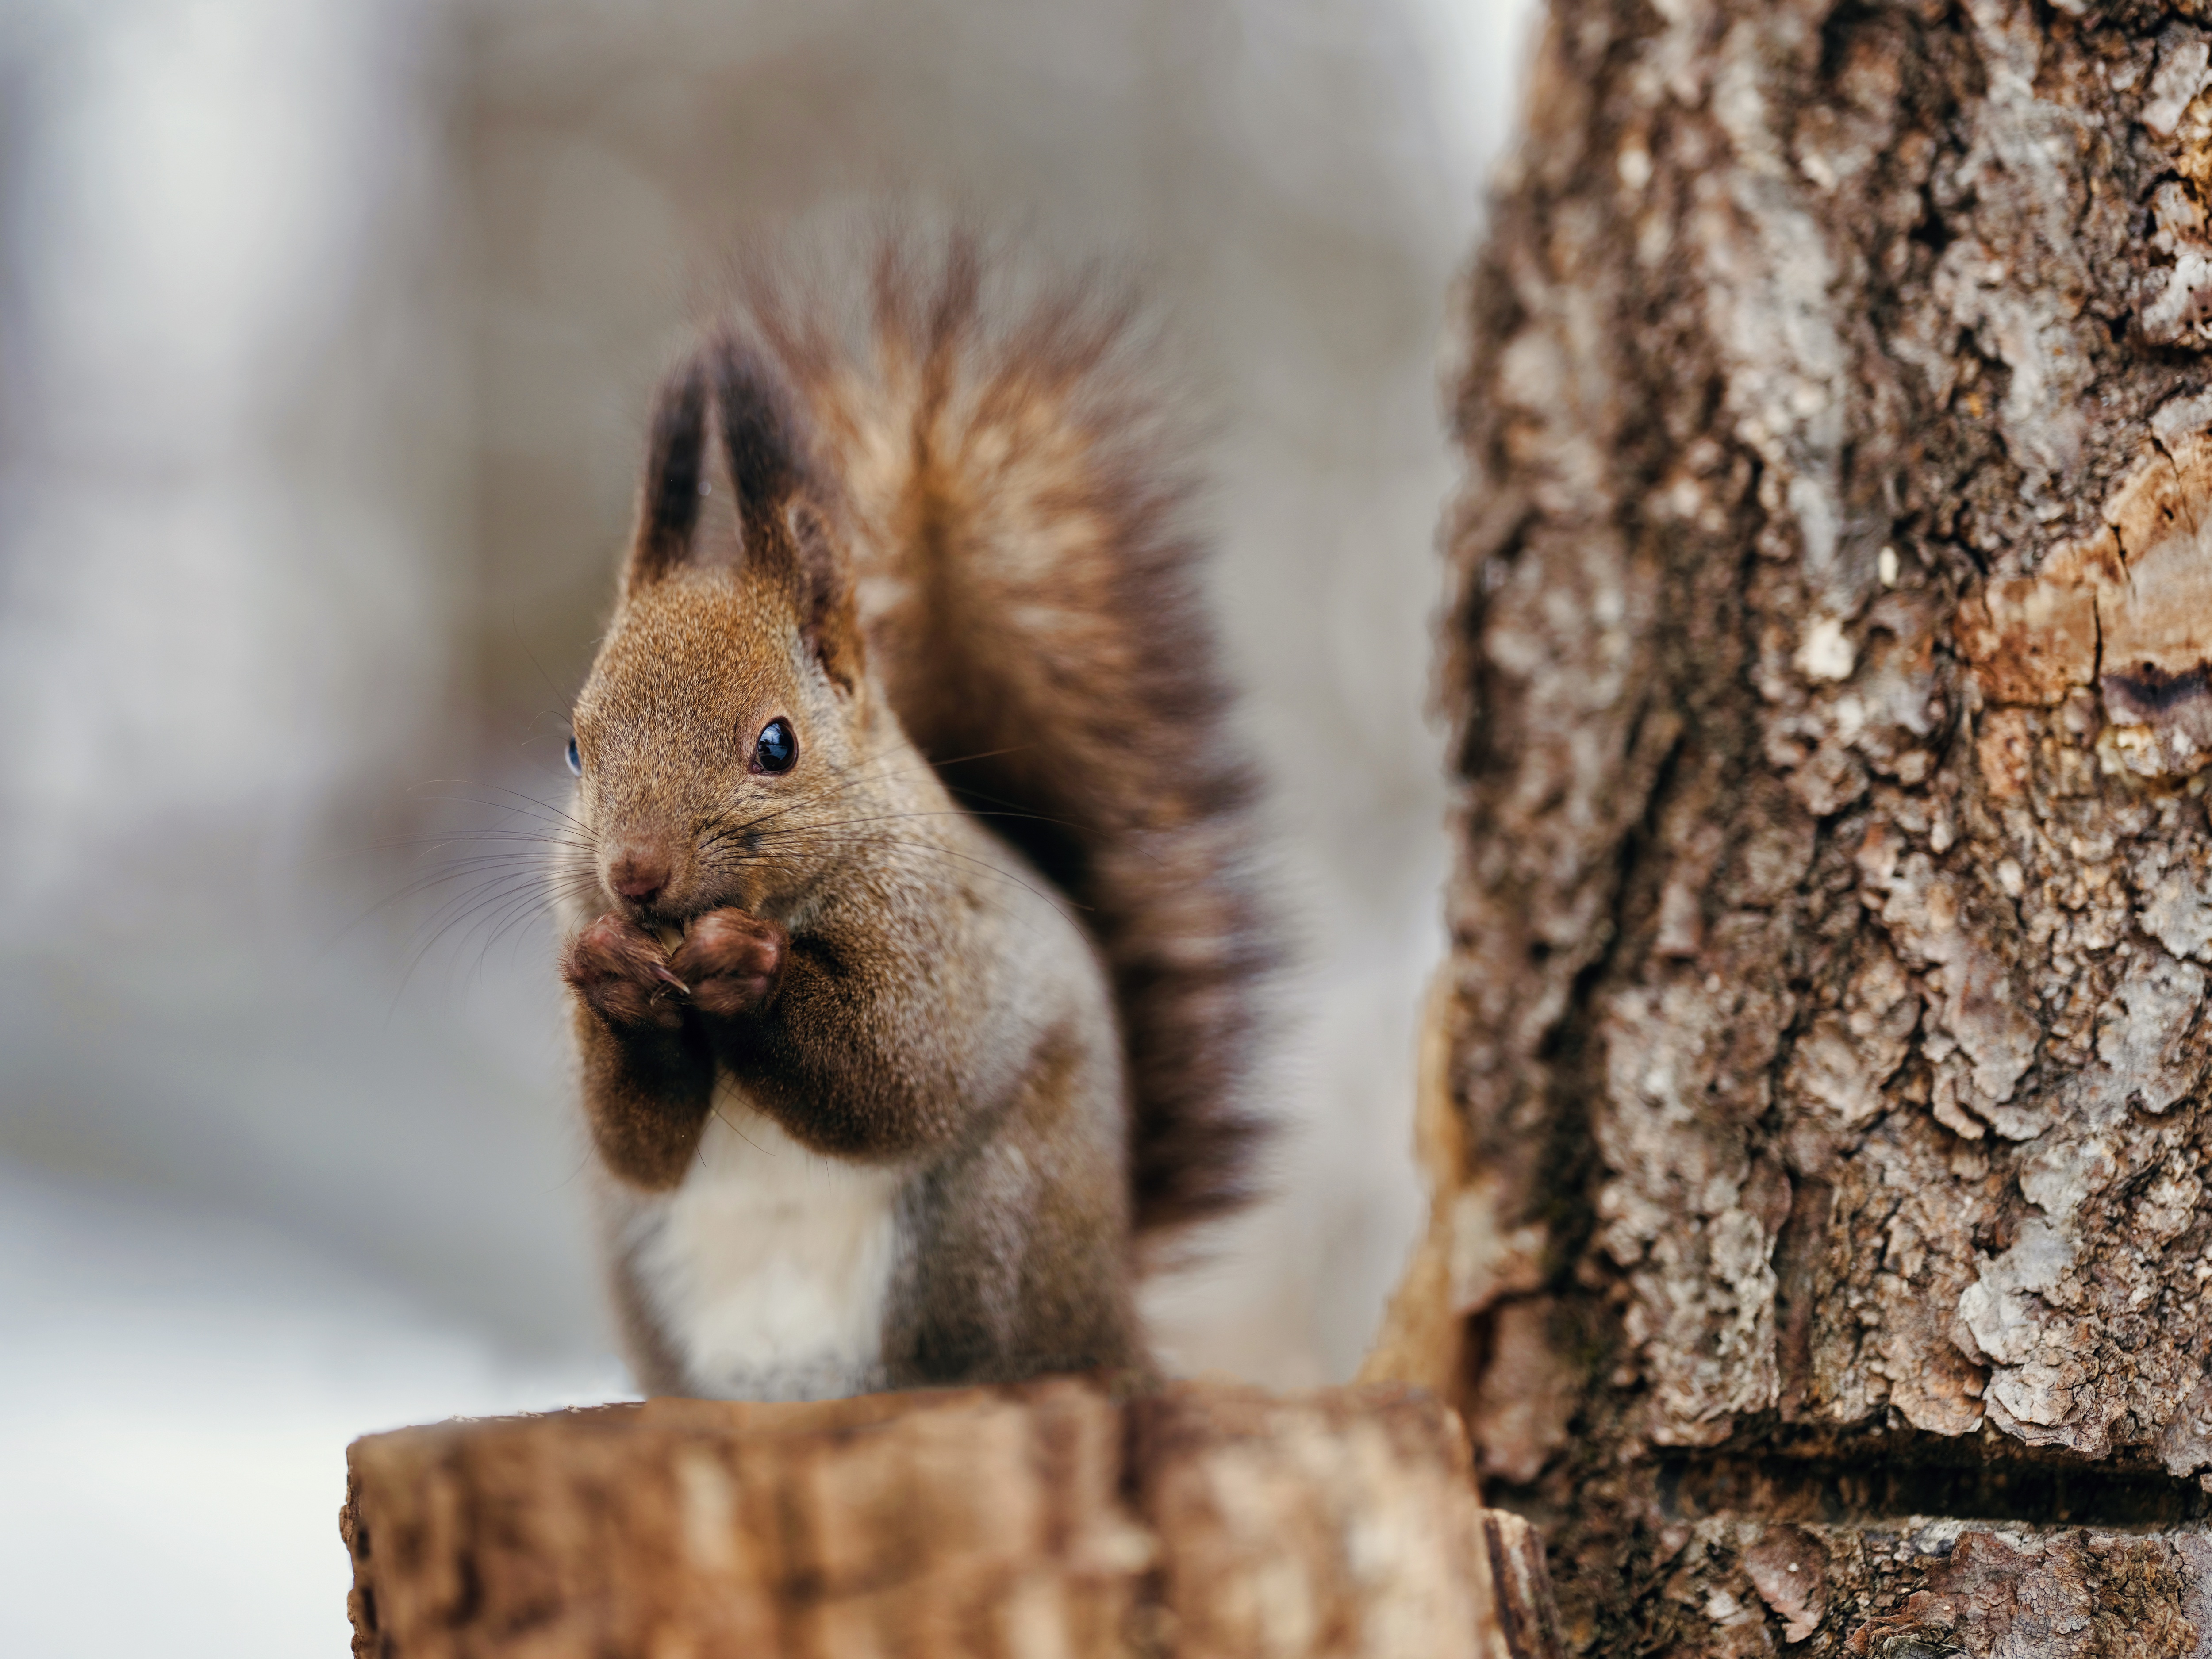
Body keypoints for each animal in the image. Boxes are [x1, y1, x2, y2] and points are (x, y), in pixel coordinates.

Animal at [557, 237, 1283, 1407]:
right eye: (576, 747)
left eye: (776, 744)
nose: (633, 875)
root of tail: (1111, 1320)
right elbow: (638, 1144)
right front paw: (612, 974)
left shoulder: (943, 942)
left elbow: (895, 1077)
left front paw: (745, 966)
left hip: (982, 1232)